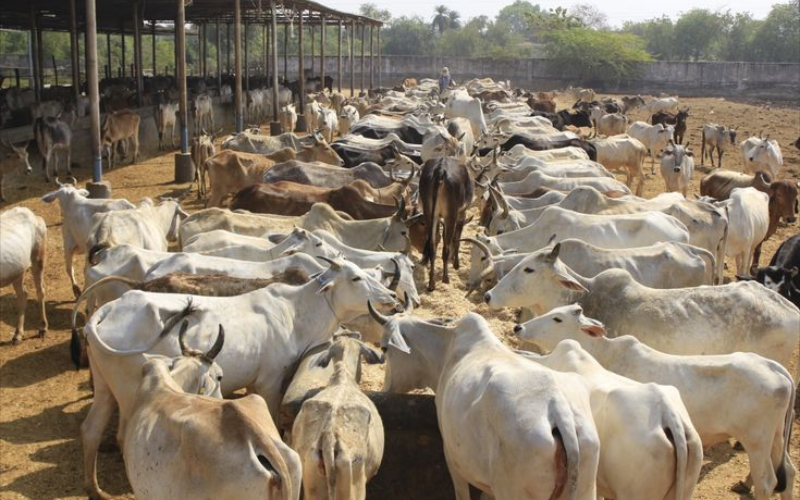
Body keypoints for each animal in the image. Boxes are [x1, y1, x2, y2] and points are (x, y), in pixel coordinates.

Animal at [0, 207, 48, 344]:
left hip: (38, 257)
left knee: (40, 290)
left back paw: (42, 328)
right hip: (18, 272)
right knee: (23, 295)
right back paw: (18, 335)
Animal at [368, 307, 601, 500]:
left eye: (385, 348)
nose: (385, 388)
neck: (446, 351)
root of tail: (557, 408)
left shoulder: (453, 459)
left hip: (512, 492)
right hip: (587, 488)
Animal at [419, 157, 474, 290]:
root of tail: (440, 170)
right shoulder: (461, 213)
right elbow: (456, 239)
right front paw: (456, 264)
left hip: (429, 212)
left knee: (432, 244)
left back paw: (431, 283)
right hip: (451, 214)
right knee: (446, 246)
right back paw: (445, 278)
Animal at [514, 304, 797, 500]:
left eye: (558, 318)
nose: (519, 328)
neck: (602, 353)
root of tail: (772, 366)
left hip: (756, 440)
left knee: (767, 482)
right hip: (774, 437)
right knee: (789, 471)